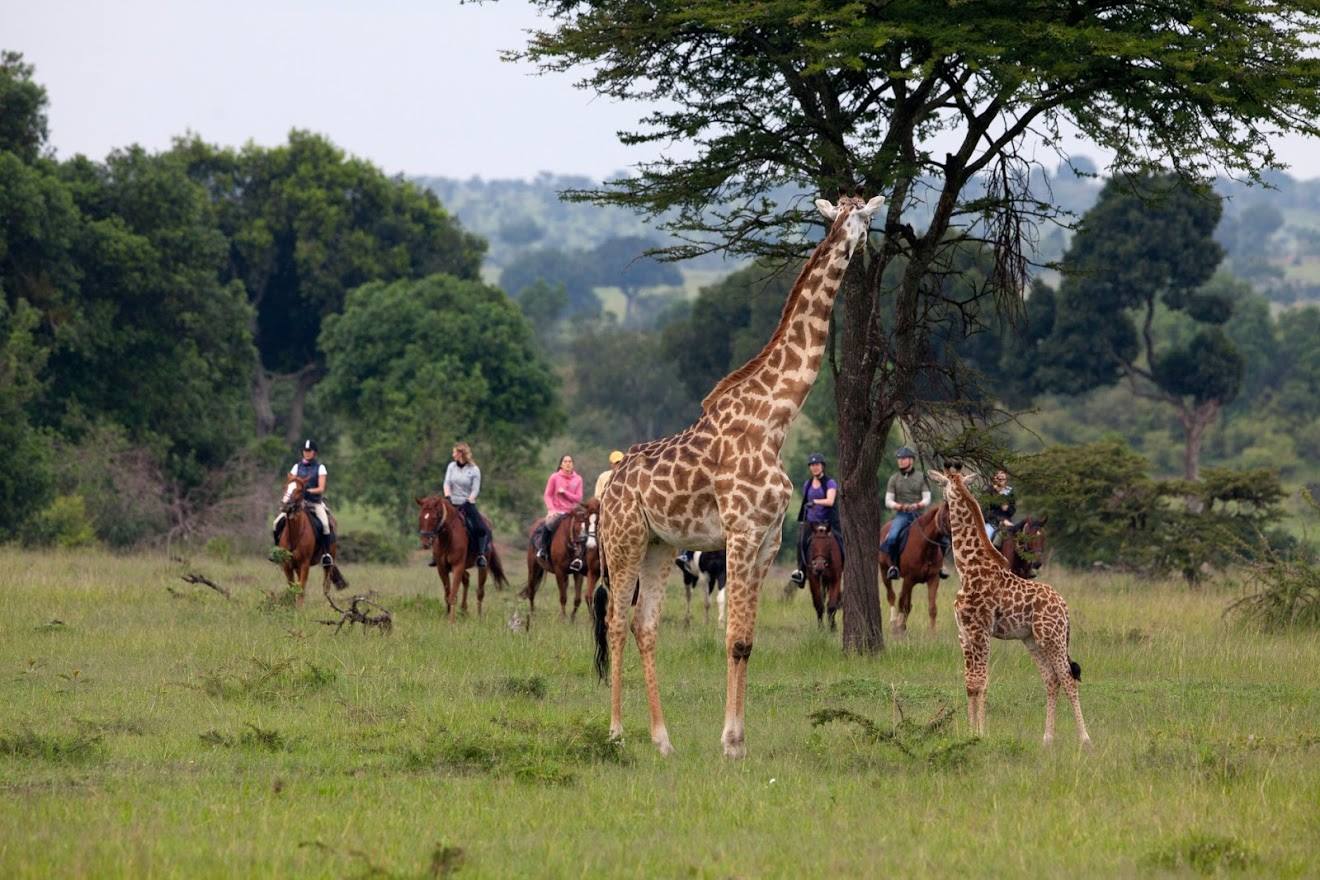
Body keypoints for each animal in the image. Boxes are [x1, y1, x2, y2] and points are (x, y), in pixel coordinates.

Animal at [276, 475, 347, 607]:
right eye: (285, 486)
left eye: (299, 490)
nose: (285, 505)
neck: (294, 533)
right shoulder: (288, 565)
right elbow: (292, 586)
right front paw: (292, 606)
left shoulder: (304, 564)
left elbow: (301, 587)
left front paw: (299, 608)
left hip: (329, 561)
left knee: (326, 584)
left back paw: (328, 604)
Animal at [878, 503, 951, 634]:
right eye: (947, 517)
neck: (926, 547)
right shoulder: (909, 579)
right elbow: (902, 602)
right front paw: (899, 627)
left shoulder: (933, 579)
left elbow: (932, 607)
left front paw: (933, 633)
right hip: (884, 571)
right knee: (892, 596)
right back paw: (893, 622)